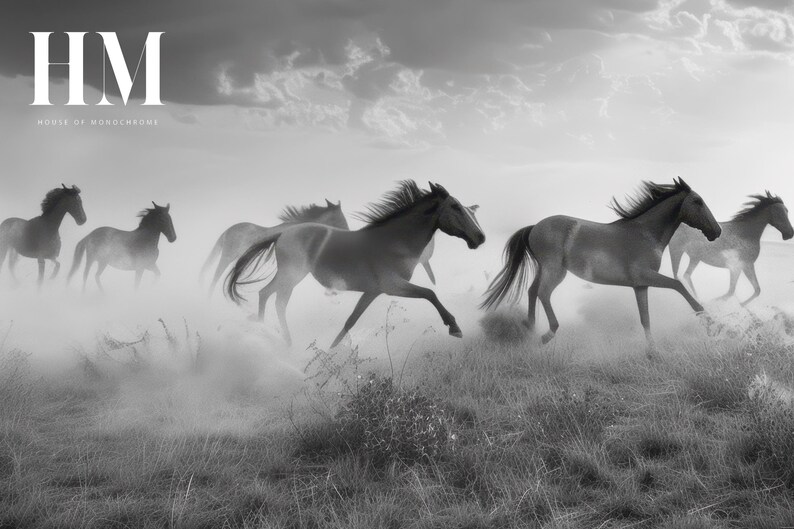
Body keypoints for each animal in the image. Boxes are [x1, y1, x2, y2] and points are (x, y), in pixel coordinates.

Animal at [226, 181, 485, 348]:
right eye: (455, 207)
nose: (480, 237)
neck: (394, 240)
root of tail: (283, 233)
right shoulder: (392, 285)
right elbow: (430, 293)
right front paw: (454, 327)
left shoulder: (373, 292)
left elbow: (350, 321)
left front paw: (333, 350)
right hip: (292, 274)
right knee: (279, 301)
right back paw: (286, 344)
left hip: (288, 274)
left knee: (265, 293)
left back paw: (264, 331)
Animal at [481, 178, 721, 346]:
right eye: (697, 201)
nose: (716, 231)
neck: (645, 233)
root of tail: (534, 227)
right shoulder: (646, 276)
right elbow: (679, 285)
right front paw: (710, 324)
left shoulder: (640, 285)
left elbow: (645, 318)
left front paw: (652, 352)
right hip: (555, 270)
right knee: (543, 293)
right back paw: (547, 334)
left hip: (545, 268)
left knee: (532, 291)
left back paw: (529, 328)